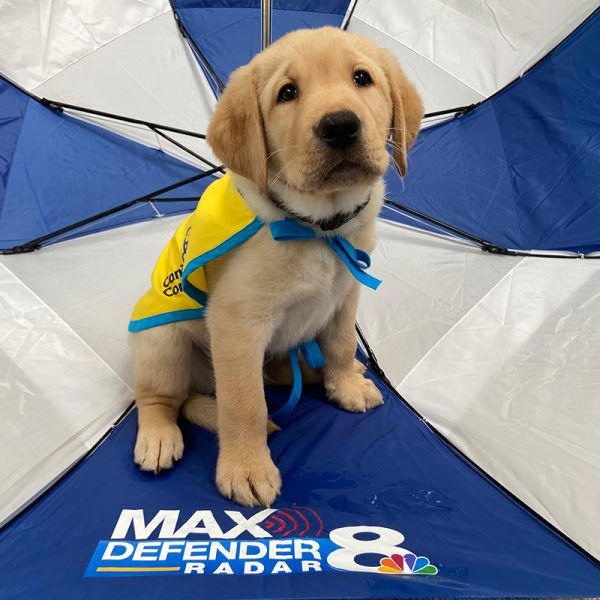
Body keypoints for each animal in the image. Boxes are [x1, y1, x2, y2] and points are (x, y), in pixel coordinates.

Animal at [131, 27, 422, 506]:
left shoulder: (345, 295)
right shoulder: (237, 324)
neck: (316, 227)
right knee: (161, 399)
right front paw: (247, 469)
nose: (340, 124)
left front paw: (344, 385)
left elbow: (341, 345)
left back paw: (318, 372)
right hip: (163, 340)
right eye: (287, 93)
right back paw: (158, 437)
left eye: (362, 78)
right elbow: (245, 403)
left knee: (282, 372)